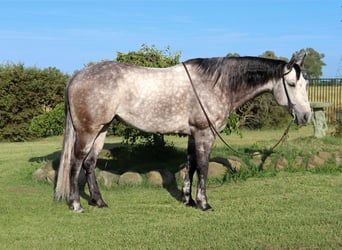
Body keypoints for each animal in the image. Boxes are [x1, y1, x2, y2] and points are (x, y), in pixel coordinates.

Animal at [54, 53, 312, 213]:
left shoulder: (193, 133)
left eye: (306, 85)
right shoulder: (205, 133)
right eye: (291, 85)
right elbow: (204, 166)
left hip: (102, 129)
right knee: (76, 163)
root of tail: (76, 76)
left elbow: (191, 165)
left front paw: (188, 200)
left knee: (90, 163)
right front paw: (204, 204)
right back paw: (77, 205)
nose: (306, 116)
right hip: (87, 131)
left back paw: (99, 202)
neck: (217, 84)